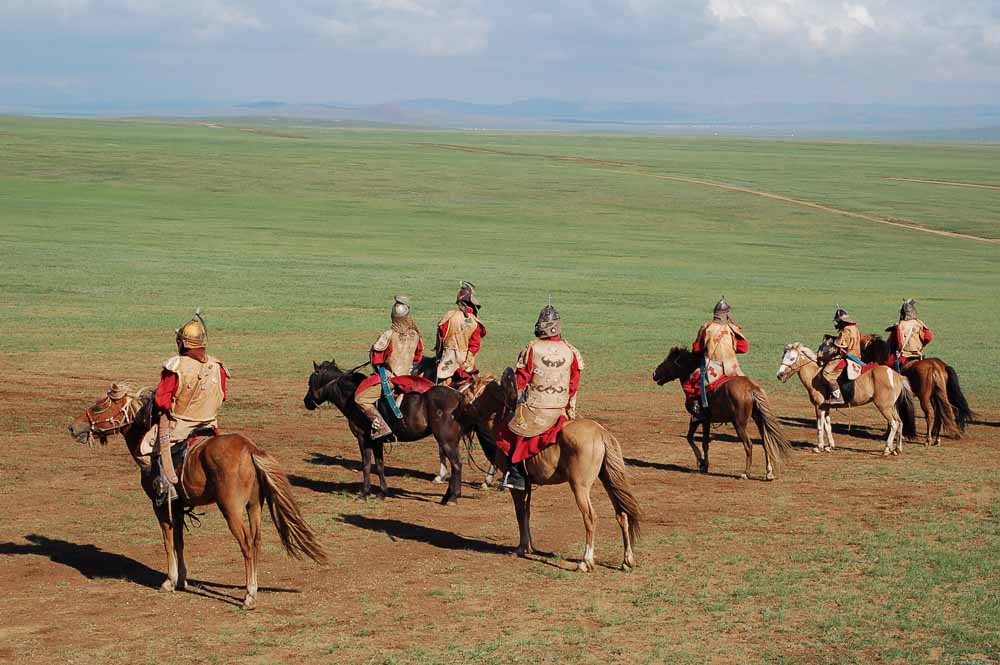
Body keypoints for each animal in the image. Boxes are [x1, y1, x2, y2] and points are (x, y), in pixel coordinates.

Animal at [68, 383, 326, 609]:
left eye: (99, 407)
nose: (73, 427)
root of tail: (250, 449)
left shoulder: (160, 506)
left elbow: (168, 541)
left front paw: (170, 581)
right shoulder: (179, 506)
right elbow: (180, 542)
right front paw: (182, 579)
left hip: (231, 509)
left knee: (246, 545)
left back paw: (249, 596)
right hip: (254, 506)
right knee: (256, 541)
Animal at [303, 360, 494, 505]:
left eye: (310, 381)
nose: (307, 402)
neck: (351, 397)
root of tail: (459, 396)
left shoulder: (363, 439)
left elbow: (366, 465)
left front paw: (364, 493)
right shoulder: (377, 441)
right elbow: (379, 465)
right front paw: (382, 493)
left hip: (445, 440)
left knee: (457, 464)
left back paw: (453, 497)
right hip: (451, 441)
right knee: (455, 464)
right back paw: (447, 496)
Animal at [459, 374, 640, 572]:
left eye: (469, 389)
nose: (456, 411)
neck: (502, 422)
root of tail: (601, 432)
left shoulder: (516, 486)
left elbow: (519, 513)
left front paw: (521, 548)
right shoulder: (527, 485)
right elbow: (527, 512)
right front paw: (529, 546)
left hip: (580, 486)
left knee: (590, 517)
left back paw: (586, 561)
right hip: (607, 479)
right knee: (622, 514)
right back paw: (627, 560)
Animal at [652, 347, 793, 480]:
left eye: (668, 362)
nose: (654, 373)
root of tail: (751, 388)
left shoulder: (700, 419)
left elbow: (702, 442)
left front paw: (703, 464)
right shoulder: (701, 420)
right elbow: (691, 438)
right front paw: (702, 462)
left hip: (739, 424)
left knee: (748, 445)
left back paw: (746, 473)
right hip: (758, 419)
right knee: (765, 442)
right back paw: (769, 473)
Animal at [775, 342, 917, 455]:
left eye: (792, 358)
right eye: (783, 357)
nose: (779, 375)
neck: (816, 376)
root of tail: (897, 375)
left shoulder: (818, 407)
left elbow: (820, 426)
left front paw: (819, 447)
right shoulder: (826, 407)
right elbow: (828, 426)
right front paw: (830, 446)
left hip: (884, 407)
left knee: (893, 424)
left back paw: (887, 449)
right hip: (891, 407)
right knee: (900, 423)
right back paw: (897, 449)